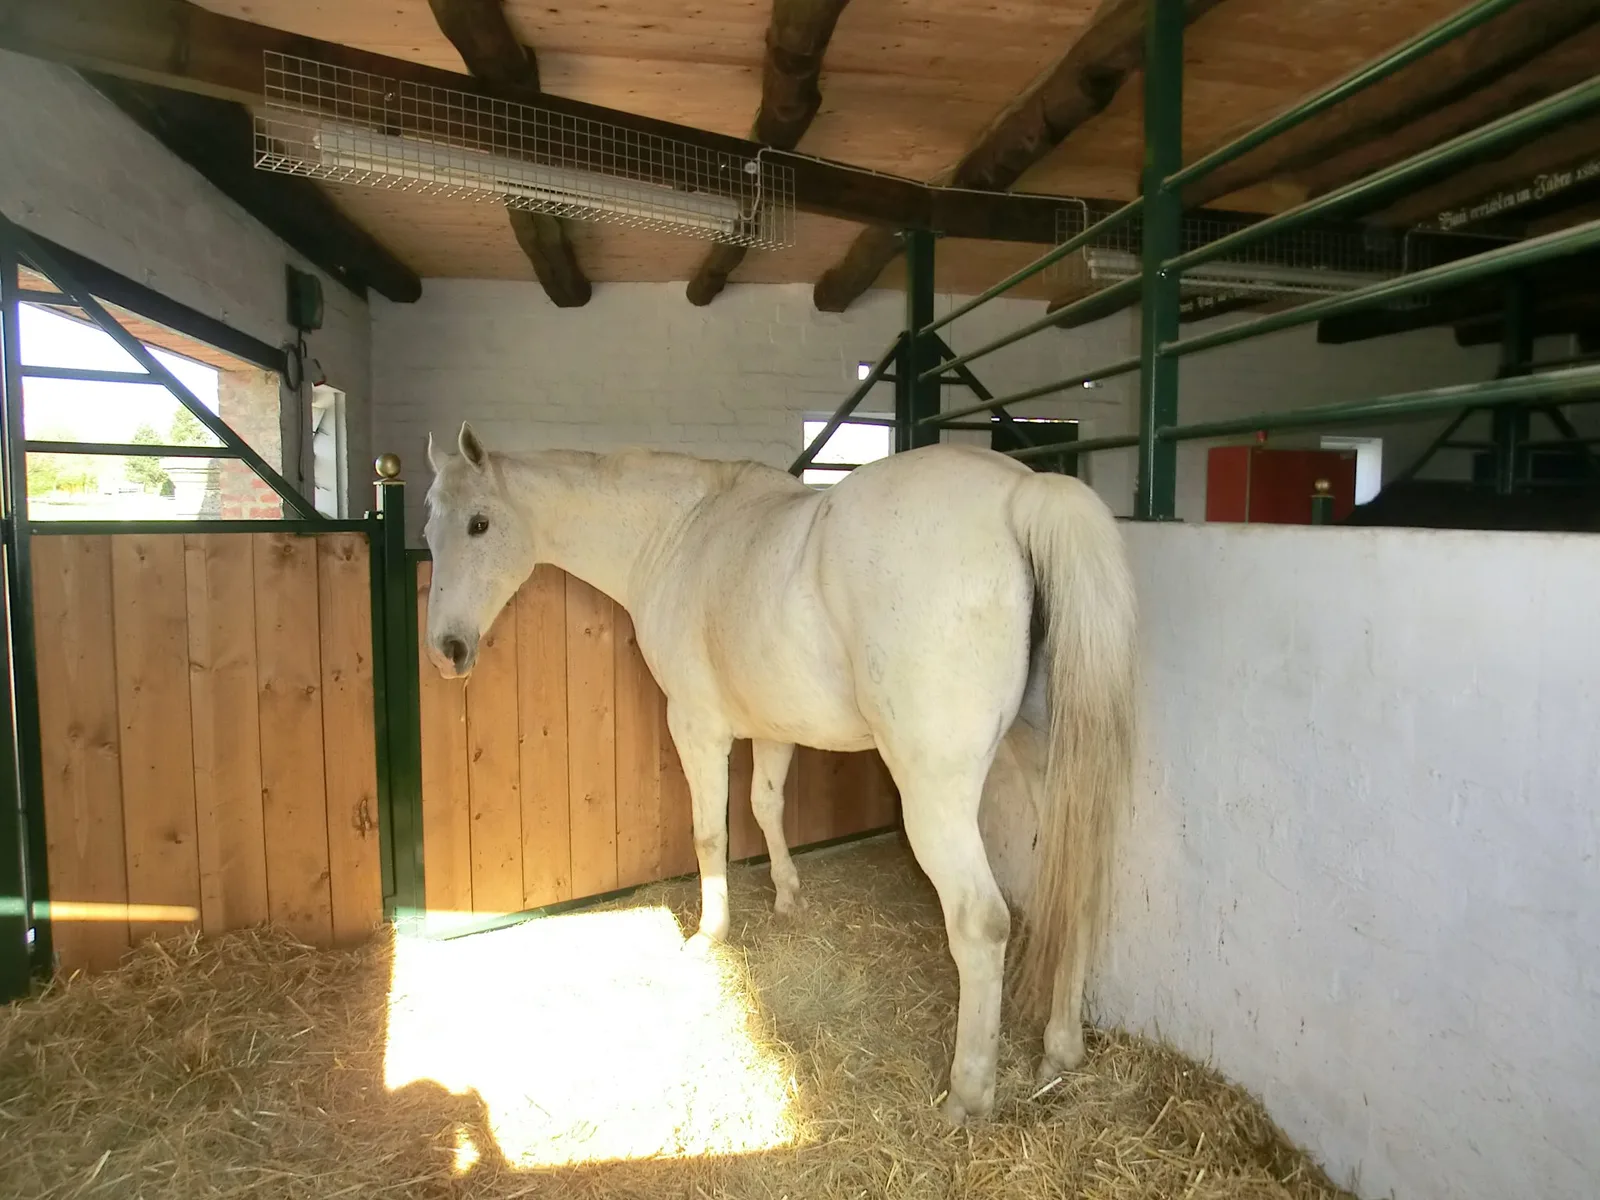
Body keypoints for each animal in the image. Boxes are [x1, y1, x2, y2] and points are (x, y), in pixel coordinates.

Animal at [421, 423, 1137, 1124]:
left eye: (479, 524)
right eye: (429, 529)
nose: (447, 651)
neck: (682, 535)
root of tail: (1020, 494)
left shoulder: (697, 725)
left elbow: (710, 832)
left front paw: (709, 937)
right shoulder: (772, 726)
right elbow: (766, 803)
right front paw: (788, 897)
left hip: (935, 793)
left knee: (981, 924)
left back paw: (968, 1095)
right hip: (1048, 769)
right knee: (1077, 892)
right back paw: (1060, 1052)